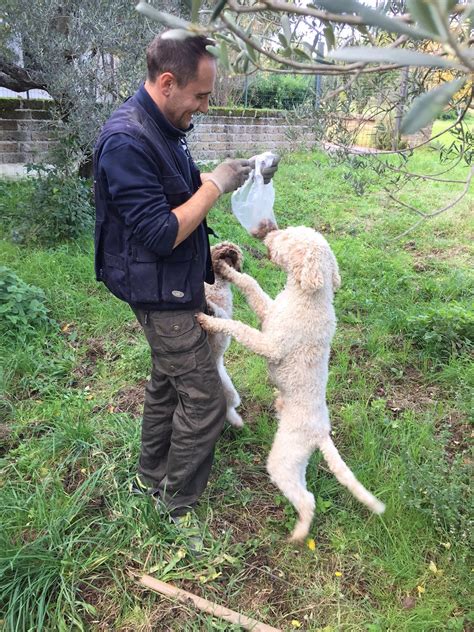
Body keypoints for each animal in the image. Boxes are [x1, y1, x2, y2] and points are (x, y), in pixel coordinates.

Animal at [197, 225, 386, 540]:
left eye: (287, 238)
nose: (268, 236)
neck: (308, 297)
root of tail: (321, 432)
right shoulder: (269, 311)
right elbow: (250, 285)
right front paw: (225, 268)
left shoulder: (270, 344)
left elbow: (238, 327)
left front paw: (208, 319)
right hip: (295, 460)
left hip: (284, 459)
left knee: (306, 499)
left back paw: (297, 535)